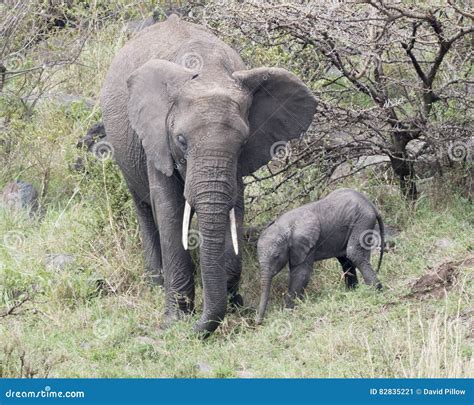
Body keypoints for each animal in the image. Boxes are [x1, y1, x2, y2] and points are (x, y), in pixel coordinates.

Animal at [100, 14, 316, 332]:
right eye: (181, 141)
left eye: (243, 143)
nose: (197, 327)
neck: (208, 71)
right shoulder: (157, 140)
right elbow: (169, 210)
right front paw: (176, 320)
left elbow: (233, 207)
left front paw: (234, 305)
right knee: (144, 207)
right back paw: (155, 282)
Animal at [258, 188, 384, 324]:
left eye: (276, 256)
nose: (258, 322)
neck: (284, 226)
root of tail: (371, 204)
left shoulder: (305, 243)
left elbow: (301, 274)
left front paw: (287, 314)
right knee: (345, 259)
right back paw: (353, 291)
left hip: (362, 219)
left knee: (353, 252)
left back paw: (375, 290)